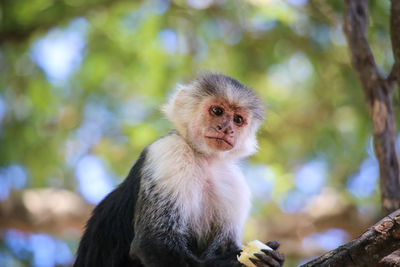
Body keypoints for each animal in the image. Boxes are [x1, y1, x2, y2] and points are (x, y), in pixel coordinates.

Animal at [72, 74, 284, 267]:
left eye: (238, 119)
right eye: (217, 111)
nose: (227, 129)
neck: (204, 160)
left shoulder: (233, 182)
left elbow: (225, 244)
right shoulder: (169, 152)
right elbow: (152, 243)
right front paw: (232, 262)